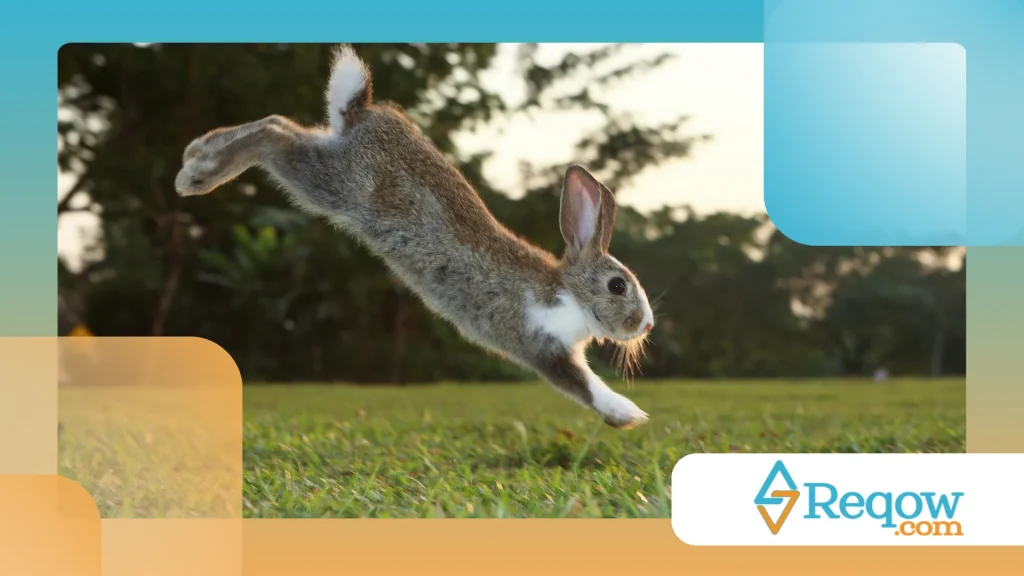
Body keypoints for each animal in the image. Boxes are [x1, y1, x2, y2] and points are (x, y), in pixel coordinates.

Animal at [174, 45, 655, 429]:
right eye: (618, 286)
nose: (646, 324)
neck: (568, 291)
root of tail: (364, 112)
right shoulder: (540, 345)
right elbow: (584, 385)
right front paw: (629, 415)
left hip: (327, 158)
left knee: (282, 124)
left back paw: (196, 153)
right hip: (332, 183)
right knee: (273, 133)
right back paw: (195, 174)